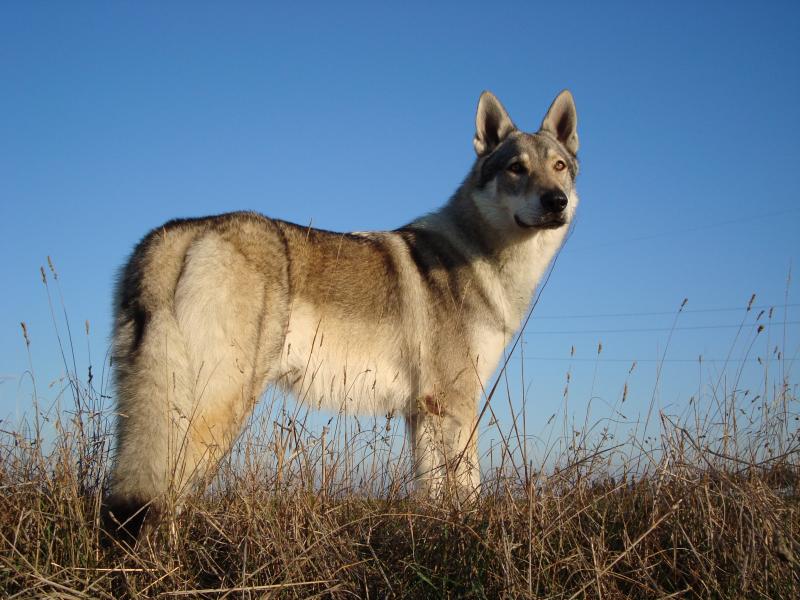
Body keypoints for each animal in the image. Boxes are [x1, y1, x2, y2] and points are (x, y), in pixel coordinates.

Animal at [106, 89, 580, 540]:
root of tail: (181, 231)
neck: (484, 256)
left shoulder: (423, 413)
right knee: (166, 498)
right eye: (516, 168)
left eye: (558, 166)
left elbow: (433, 496)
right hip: (217, 411)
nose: (555, 201)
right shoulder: (456, 405)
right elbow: (470, 493)